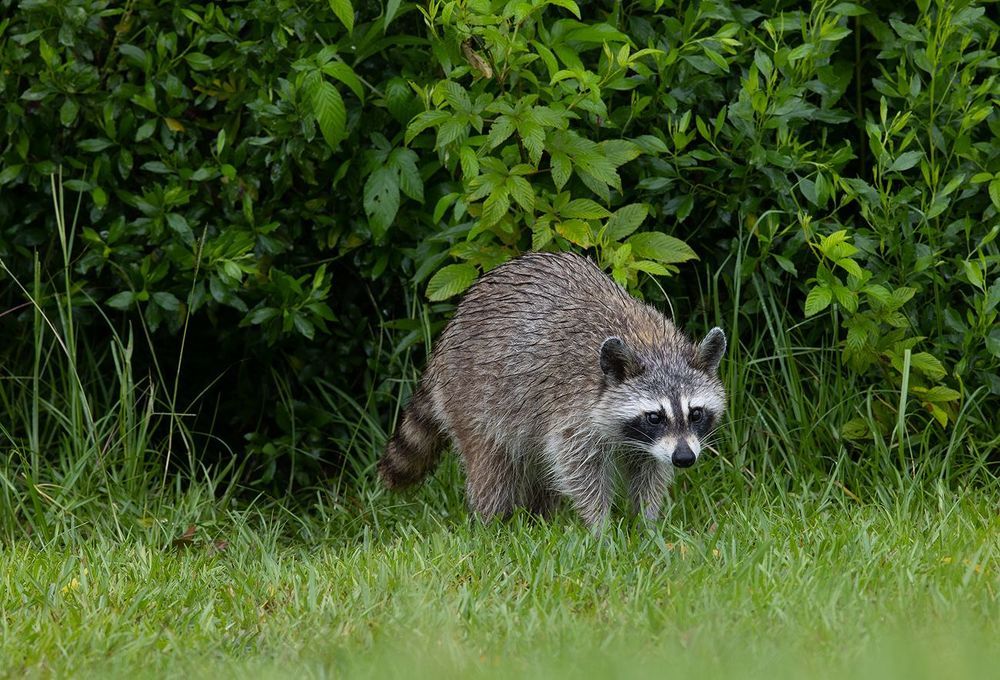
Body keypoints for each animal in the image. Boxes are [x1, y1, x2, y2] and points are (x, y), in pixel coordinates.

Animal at [378, 251, 727, 527]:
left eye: (696, 413)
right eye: (655, 417)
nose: (685, 458)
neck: (652, 345)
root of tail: (447, 337)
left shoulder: (649, 441)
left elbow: (649, 470)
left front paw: (647, 523)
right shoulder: (572, 409)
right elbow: (578, 469)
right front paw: (600, 527)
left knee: (538, 470)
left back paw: (540, 519)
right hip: (473, 395)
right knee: (491, 466)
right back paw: (492, 524)